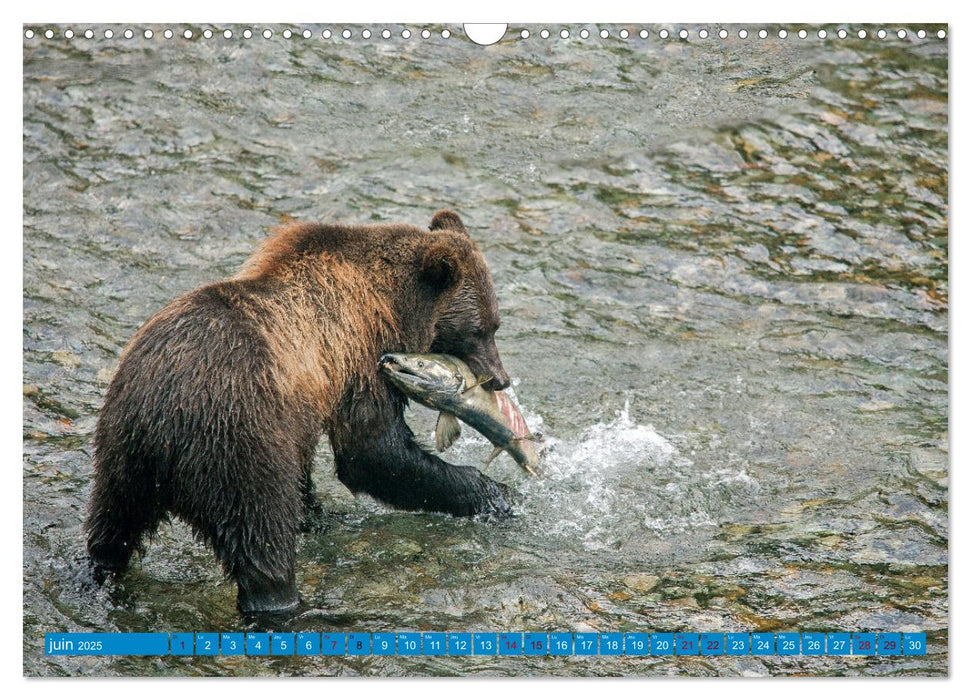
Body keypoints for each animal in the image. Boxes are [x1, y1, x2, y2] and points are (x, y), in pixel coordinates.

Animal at [83, 212, 516, 612]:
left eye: (495, 324)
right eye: (480, 330)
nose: (500, 379)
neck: (393, 301)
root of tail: (161, 418)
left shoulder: (304, 406)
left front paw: (321, 516)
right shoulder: (361, 355)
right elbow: (372, 451)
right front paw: (496, 494)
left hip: (121, 448)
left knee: (112, 524)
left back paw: (103, 572)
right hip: (235, 439)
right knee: (262, 537)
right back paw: (289, 604)